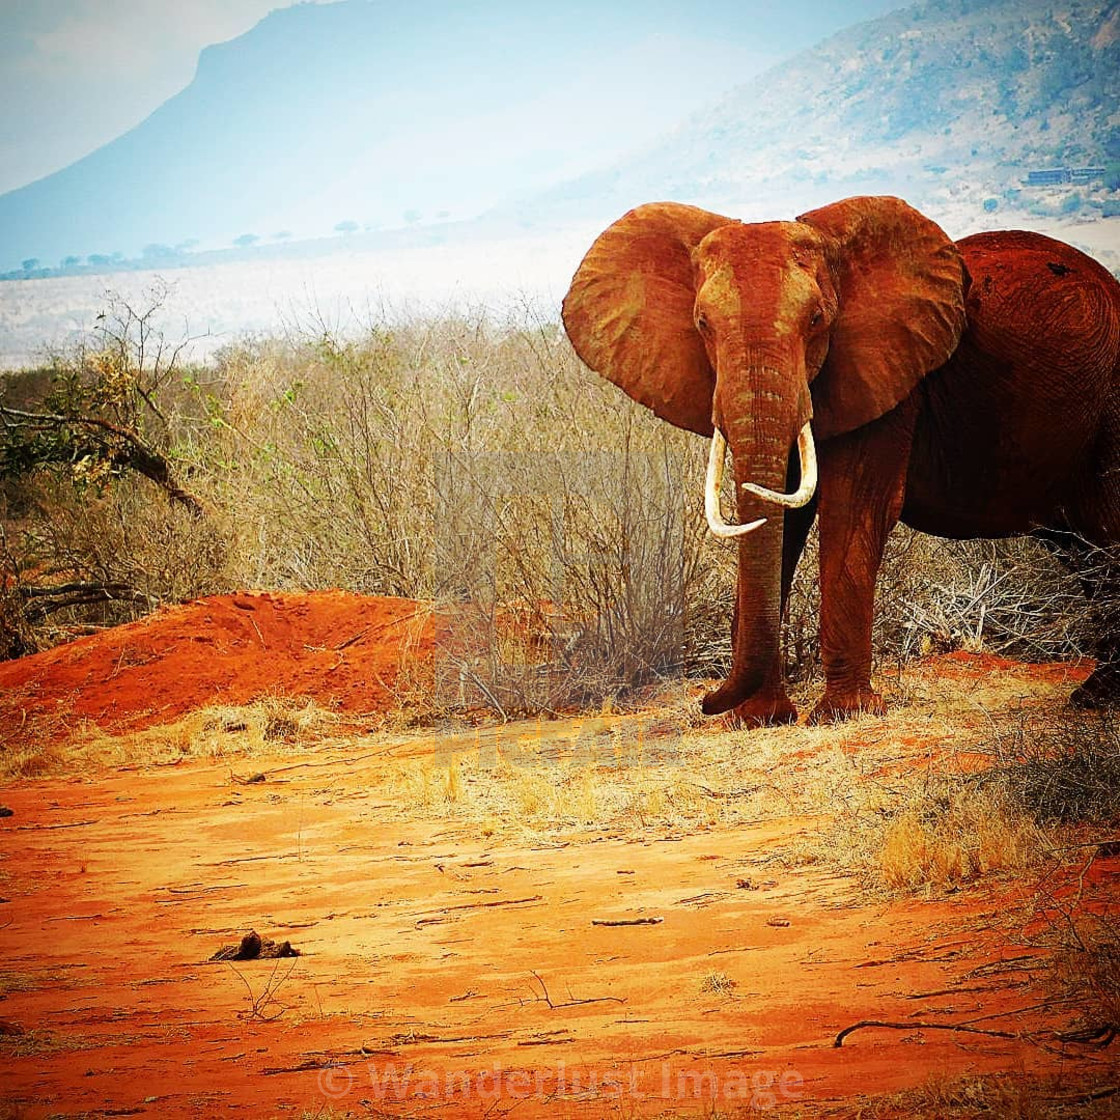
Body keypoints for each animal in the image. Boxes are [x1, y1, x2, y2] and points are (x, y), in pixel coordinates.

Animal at [564, 194, 1120, 725]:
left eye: (816, 321)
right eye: (702, 324)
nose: (705, 702)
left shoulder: (889, 378)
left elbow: (853, 509)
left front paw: (843, 713)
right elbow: (778, 520)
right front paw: (758, 720)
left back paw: (1096, 699)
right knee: (1081, 548)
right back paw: (1091, 695)